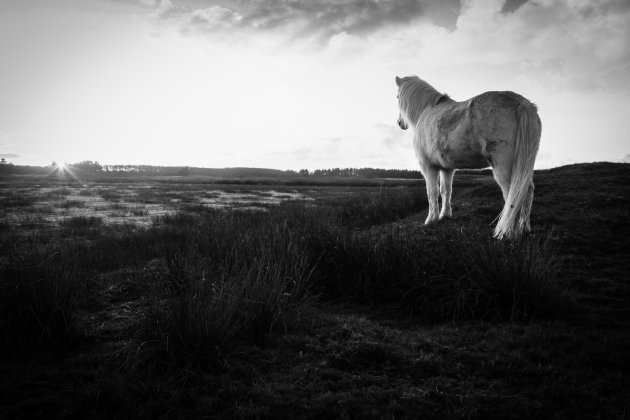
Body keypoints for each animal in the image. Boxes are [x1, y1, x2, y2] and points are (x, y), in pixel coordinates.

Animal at [398, 76, 540, 240]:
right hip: (524, 165)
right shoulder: (447, 168)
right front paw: (444, 215)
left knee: (513, 195)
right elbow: (446, 191)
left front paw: (430, 219)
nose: (400, 123)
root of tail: (521, 103)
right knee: (527, 191)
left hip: (504, 167)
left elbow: (432, 192)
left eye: (397, 96)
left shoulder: (428, 166)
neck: (427, 112)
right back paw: (525, 228)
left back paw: (508, 233)